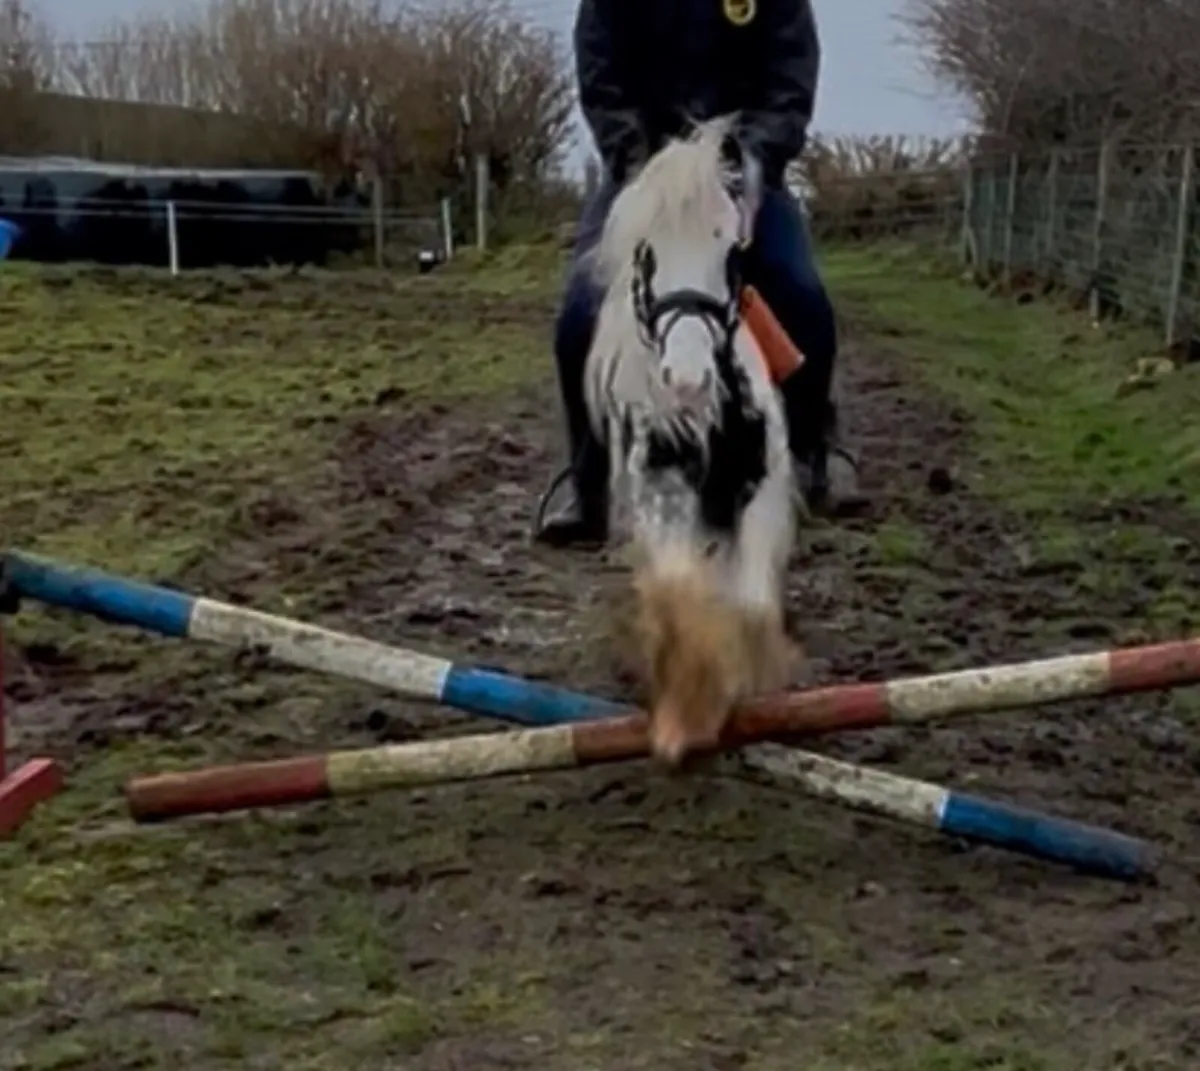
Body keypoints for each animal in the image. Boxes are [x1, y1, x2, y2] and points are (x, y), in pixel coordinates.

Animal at [580, 114, 799, 766]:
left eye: (729, 249)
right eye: (647, 255)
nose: (686, 379)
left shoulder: (762, 490)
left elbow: (750, 603)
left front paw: (748, 681)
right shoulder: (661, 496)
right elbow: (678, 589)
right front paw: (685, 714)